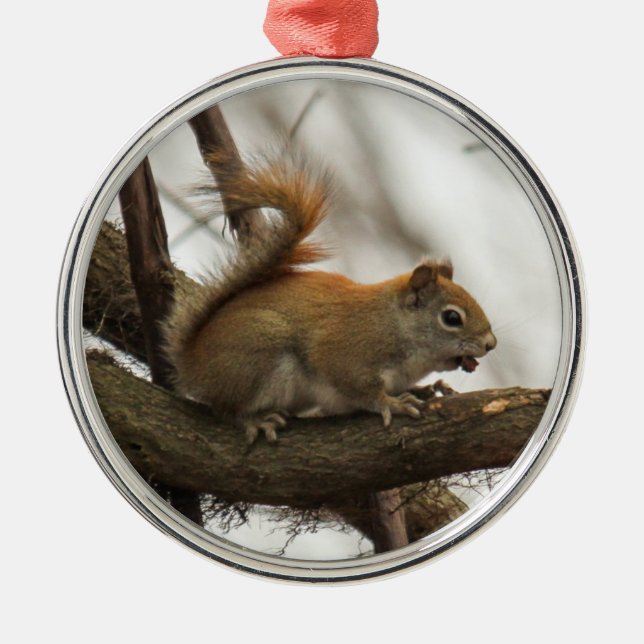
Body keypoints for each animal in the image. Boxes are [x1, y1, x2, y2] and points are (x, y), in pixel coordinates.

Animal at [163, 153, 497, 444]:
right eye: (451, 318)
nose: (490, 344)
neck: (395, 325)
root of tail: (192, 364)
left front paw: (428, 389)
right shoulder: (346, 353)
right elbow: (360, 388)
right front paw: (392, 403)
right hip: (257, 353)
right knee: (226, 408)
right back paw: (254, 419)